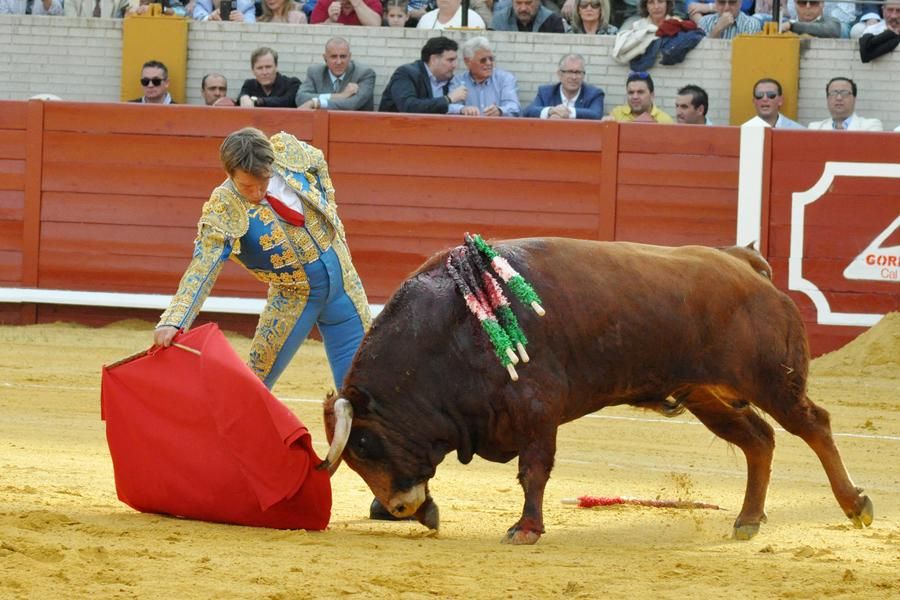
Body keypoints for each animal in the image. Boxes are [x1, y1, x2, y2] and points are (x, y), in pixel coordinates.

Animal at [320, 238, 876, 544]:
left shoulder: (537, 410)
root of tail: (745, 266)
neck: (452, 329)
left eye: (364, 444)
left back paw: (855, 505)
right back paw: (748, 519)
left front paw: (526, 529)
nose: (397, 507)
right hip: (704, 393)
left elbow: (534, 471)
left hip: (770, 379)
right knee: (758, 439)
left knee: (813, 425)